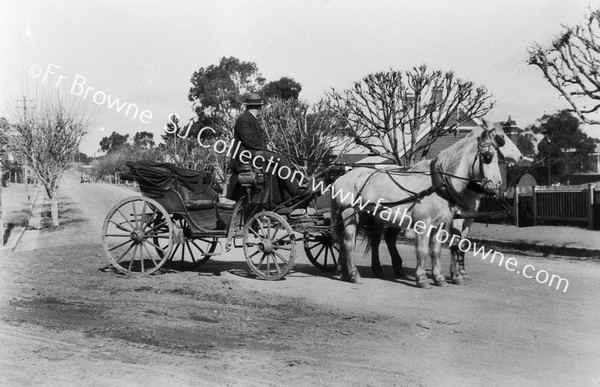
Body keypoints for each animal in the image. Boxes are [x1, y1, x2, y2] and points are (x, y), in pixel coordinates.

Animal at [330, 123, 504, 288]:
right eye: (487, 157)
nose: (498, 183)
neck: (438, 184)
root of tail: (340, 178)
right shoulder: (424, 224)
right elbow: (423, 251)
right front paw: (422, 279)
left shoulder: (439, 226)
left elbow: (436, 251)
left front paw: (439, 278)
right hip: (350, 217)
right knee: (349, 243)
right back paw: (354, 275)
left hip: (365, 217)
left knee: (359, 240)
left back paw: (345, 272)